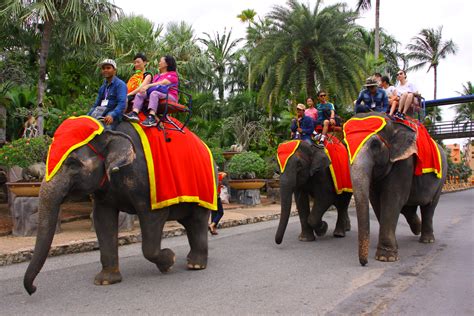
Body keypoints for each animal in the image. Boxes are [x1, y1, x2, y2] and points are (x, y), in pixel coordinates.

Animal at [23, 119, 213, 296]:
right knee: (189, 222)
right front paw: (106, 281)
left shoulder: (146, 182)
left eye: (73, 163)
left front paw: (169, 261)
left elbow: (153, 218)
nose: (33, 289)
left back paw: (195, 265)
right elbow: (103, 219)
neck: (108, 131)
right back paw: (192, 261)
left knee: (198, 220)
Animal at [346, 112, 446, 266]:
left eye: (375, 145)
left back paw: (427, 240)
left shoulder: (404, 162)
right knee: (408, 208)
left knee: (429, 207)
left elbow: (392, 198)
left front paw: (386, 258)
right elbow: (376, 201)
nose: (363, 263)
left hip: (441, 178)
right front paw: (392, 249)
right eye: (345, 146)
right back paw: (417, 228)